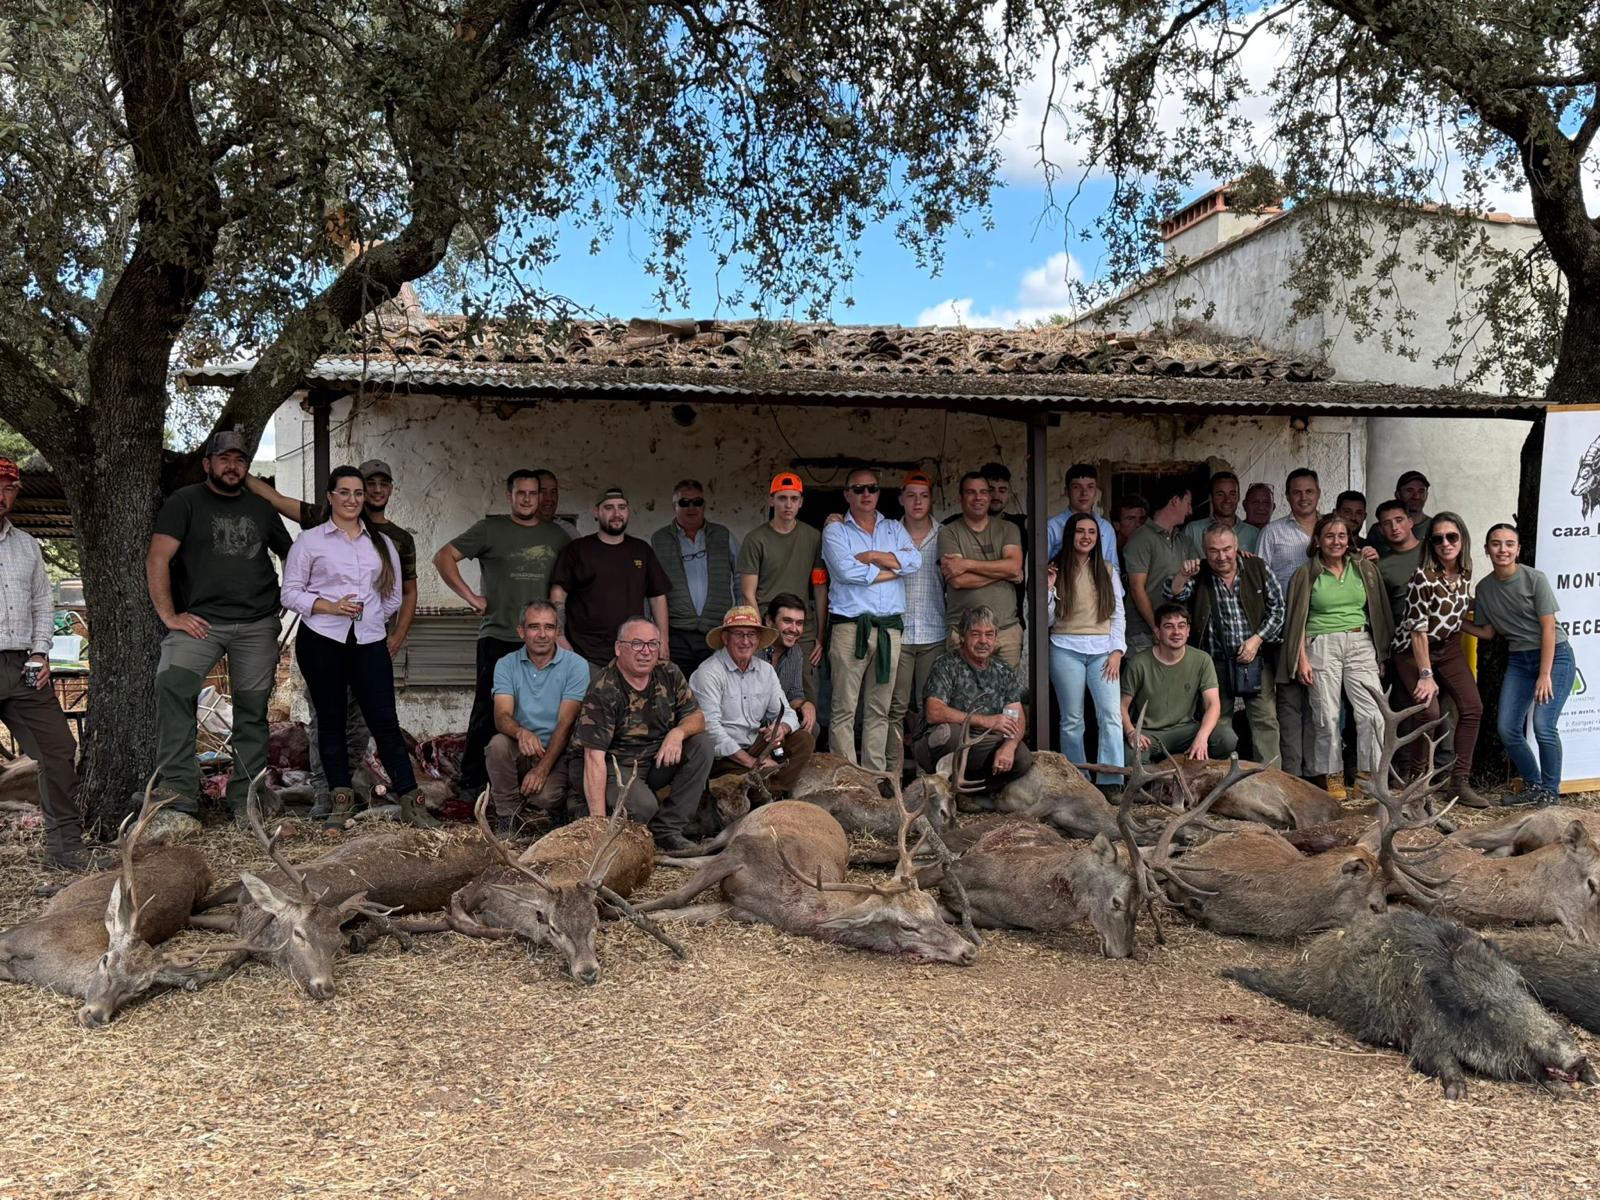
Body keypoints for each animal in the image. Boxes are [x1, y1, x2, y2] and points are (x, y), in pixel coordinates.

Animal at [0, 787, 213, 1027]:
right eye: (105, 961)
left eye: (139, 989)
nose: (95, 1015)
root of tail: (195, 855)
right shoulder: (15, 934)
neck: (43, 968)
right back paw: (46, 887)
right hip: (125, 858)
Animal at [404, 770, 685, 985]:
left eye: (595, 923)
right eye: (554, 927)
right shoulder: (481, 880)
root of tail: (645, 832)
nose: (588, 972)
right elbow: (456, 907)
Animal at [637, 778, 979, 965]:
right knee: (701, 849)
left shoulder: (742, 911)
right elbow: (676, 896)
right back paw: (660, 854)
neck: (781, 898)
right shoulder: (742, 851)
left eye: (934, 908)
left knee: (698, 860)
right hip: (734, 829)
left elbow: (682, 913)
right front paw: (629, 908)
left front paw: (647, 917)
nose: (968, 950)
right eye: (908, 926)